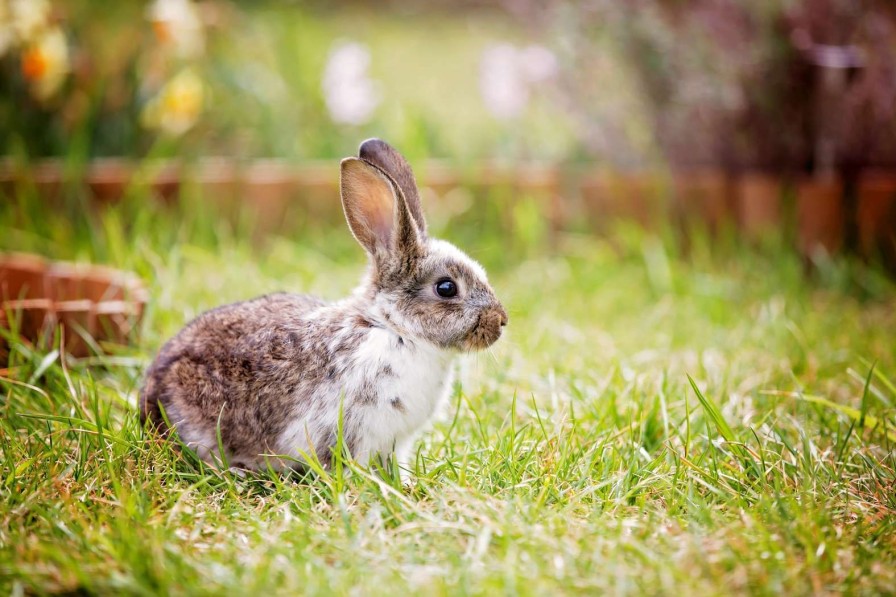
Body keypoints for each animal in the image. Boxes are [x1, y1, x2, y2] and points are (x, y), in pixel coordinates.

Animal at [139, 137, 504, 472]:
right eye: (446, 288)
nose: (501, 322)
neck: (394, 328)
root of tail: (151, 390)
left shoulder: (396, 442)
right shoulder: (355, 430)